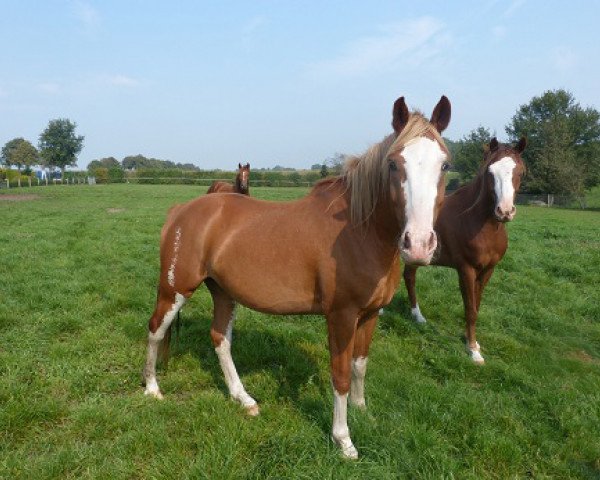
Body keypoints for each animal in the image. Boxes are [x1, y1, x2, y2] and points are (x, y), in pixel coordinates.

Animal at [142, 94, 450, 458]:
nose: (419, 245)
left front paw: (363, 412)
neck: (360, 230)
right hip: (175, 288)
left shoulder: (371, 314)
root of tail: (180, 211)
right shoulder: (342, 316)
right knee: (156, 329)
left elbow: (360, 365)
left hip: (223, 292)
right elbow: (340, 375)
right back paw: (152, 389)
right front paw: (344, 440)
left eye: (445, 165)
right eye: (393, 164)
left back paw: (243, 399)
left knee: (220, 338)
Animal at [404, 138, 524, 364]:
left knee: (409, 277)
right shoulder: (466, 269)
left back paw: (418, 317)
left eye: (521, 171)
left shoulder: (487, 270)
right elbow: (470, 309)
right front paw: (473, 351)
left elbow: (476, 304)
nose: (504, 211)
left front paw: (472, 341)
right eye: (490, 171)